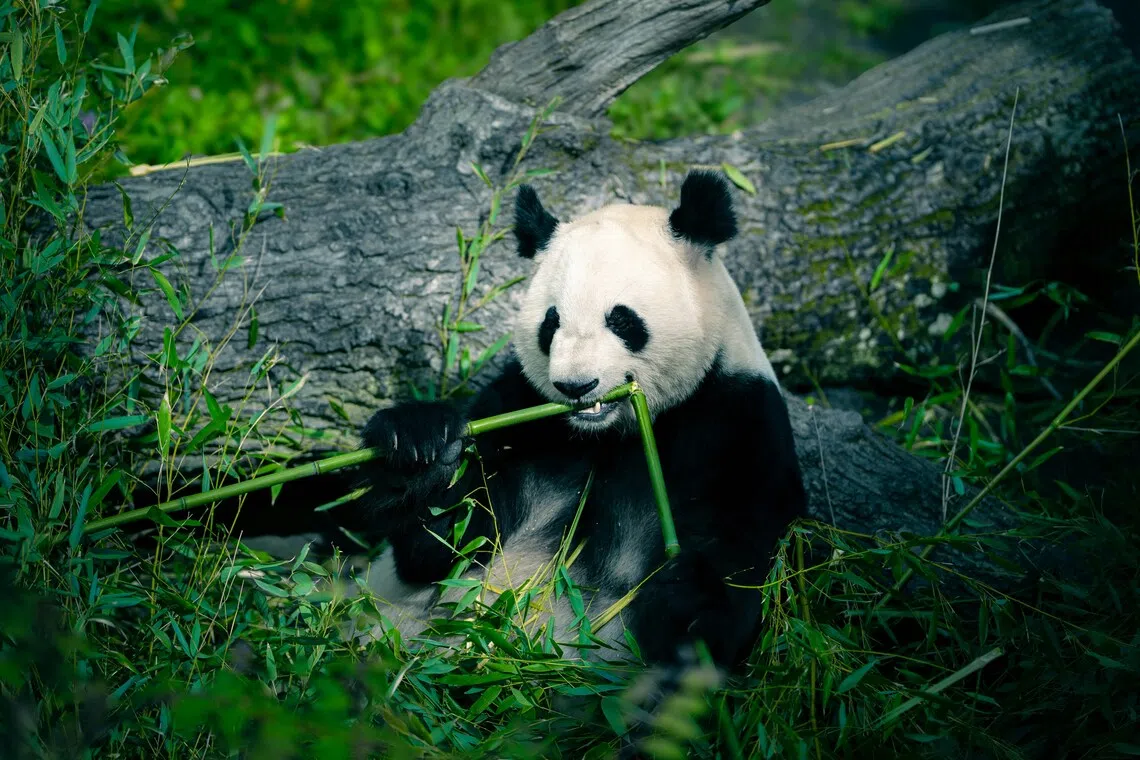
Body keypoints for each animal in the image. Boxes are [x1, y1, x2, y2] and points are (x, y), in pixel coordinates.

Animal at [352, 169, 806, 718]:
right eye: (551, 323)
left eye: (623, 320)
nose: (576, 386)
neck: (611, 431)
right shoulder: (520, 411)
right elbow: (447, 544)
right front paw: (421, 449)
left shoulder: (736, 423)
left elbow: (735, 562)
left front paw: (683, 603)